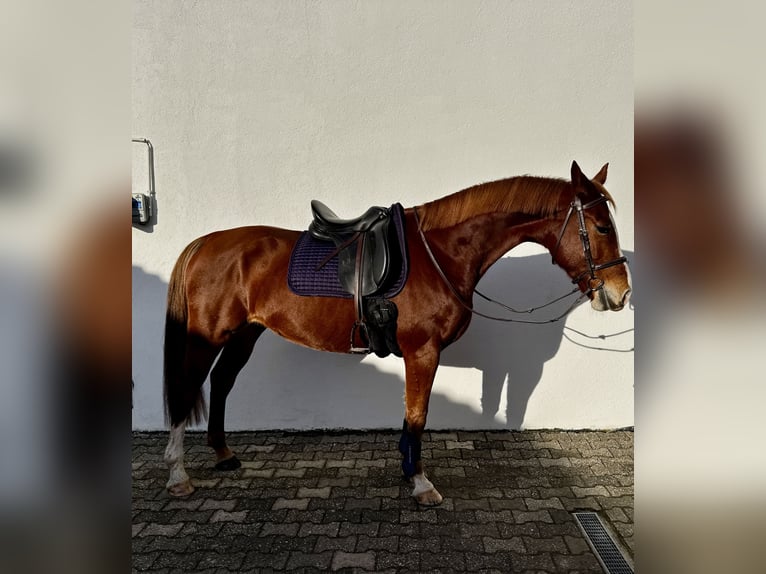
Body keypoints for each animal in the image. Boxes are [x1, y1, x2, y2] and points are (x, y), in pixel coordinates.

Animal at [163, 160, 631, 505]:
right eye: (601, 227)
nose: (620, 293)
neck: (441, 253)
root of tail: (204, 244)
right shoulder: (423, 351)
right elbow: (418, 415)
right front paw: (421, 484)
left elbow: (415, 414)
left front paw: (409, 471)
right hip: (208, 336)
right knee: (188, 388)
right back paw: (178, 475)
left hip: (245, 334)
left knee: (222, 382)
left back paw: (224, 454)